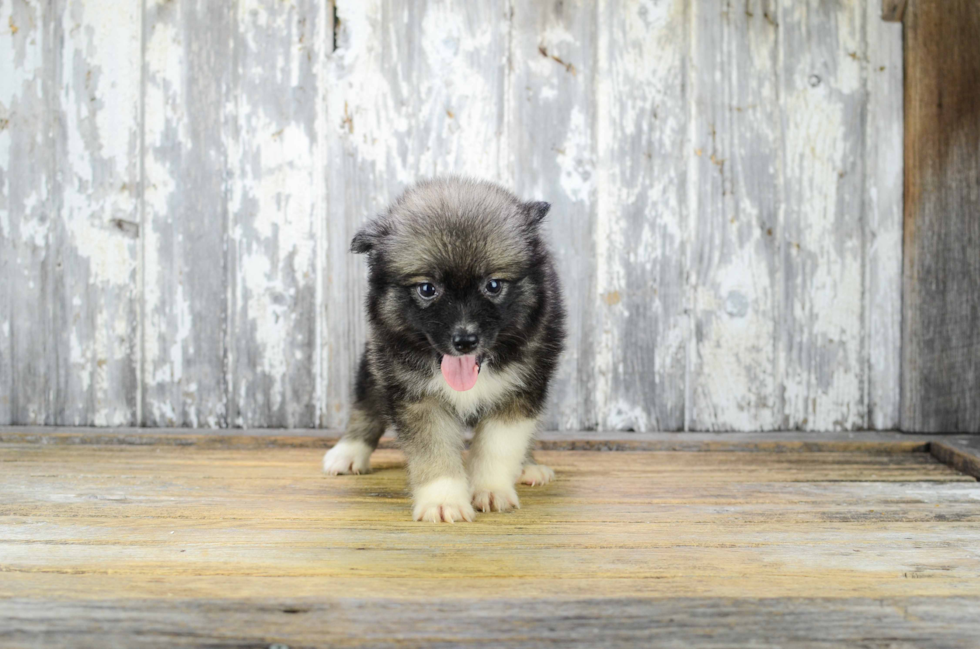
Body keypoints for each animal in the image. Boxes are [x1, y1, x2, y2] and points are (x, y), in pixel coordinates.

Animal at [324, 176, 568, 520]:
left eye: (493, 285)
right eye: (428, 289)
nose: (465, 341)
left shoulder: (520, 391)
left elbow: (498, 446)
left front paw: (491, 489)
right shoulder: (417, 395)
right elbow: (433, 451)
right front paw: (443, 501)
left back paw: (528, 466)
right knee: (366, 404)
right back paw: (348, 451)